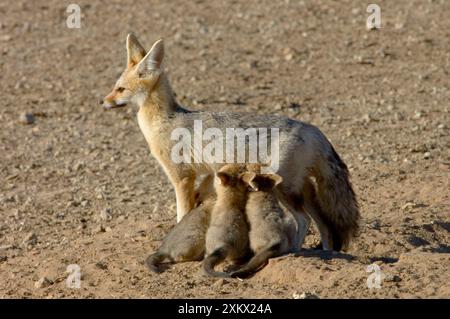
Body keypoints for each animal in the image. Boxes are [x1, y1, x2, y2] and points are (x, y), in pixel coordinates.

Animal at [101, 33, 358, 251]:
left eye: (120, 89)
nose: (103, 102)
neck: (166, 120)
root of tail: (314, 130)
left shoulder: (182, 177)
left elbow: (182, 213)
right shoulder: (207, 173)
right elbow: (201, 197)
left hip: (283, 187)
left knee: (304, 220)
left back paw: (294, 251)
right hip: (303, 189)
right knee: (325, 224)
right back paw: (327, 253)